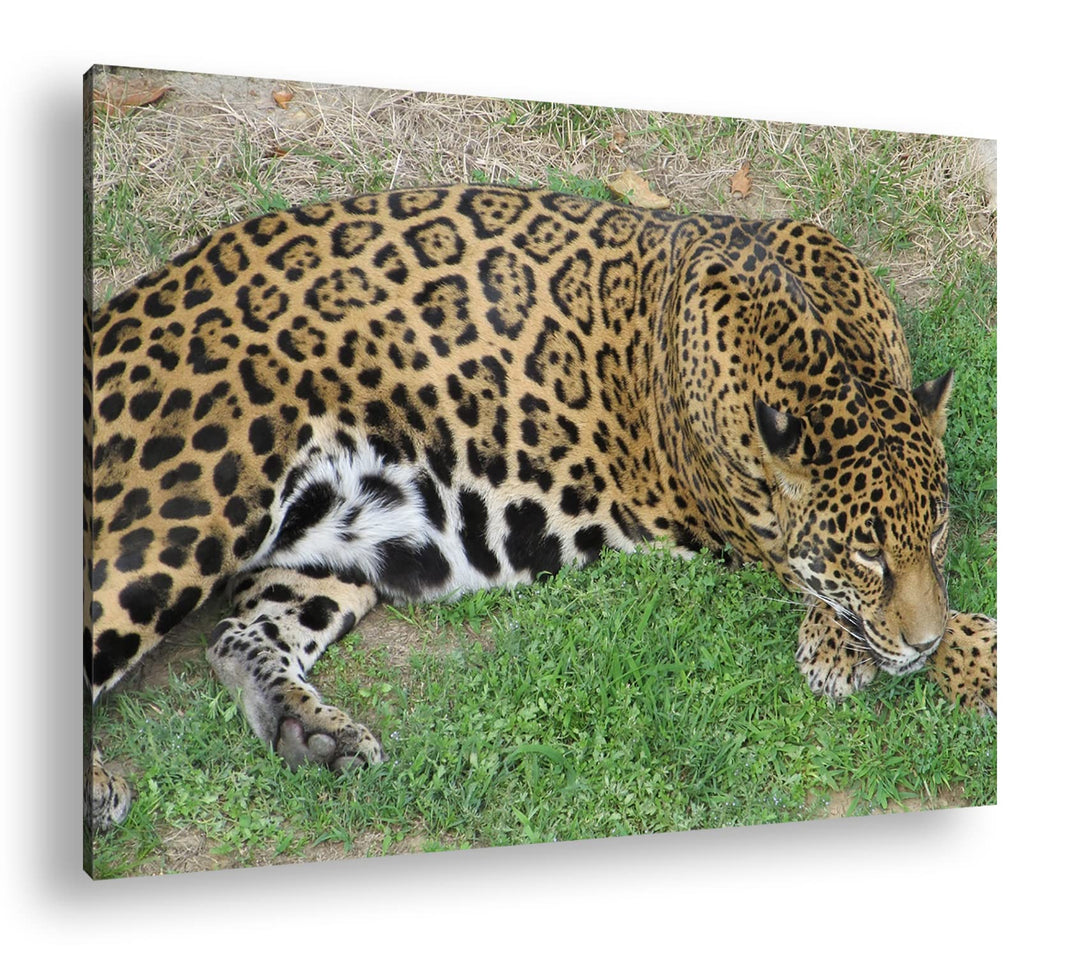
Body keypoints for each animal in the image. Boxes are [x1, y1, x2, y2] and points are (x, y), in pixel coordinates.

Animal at [85, 184, 996, 831]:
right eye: (866, 553)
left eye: (937, 529)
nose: (919, 641)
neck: (821, 353)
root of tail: (112, 314)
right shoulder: (756, 532)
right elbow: (853, 598)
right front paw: (951, 657)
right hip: (186, 509)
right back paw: (99, 789)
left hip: (335, 544)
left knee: (241, 633)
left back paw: (313, 734)